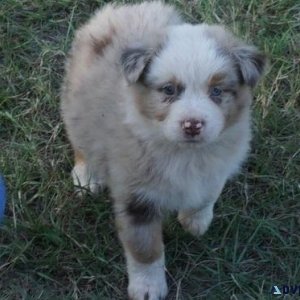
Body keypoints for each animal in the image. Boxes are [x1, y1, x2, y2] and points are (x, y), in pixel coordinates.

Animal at [60, 2, 264, 300]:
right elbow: (145, 250)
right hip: (76, 101)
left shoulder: (220, 160)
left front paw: (196, 221)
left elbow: (208, 193)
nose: (193, 125)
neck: (185, 154)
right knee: (81, 139)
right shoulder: (137, 197)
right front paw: (148, 288)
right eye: (169, 90)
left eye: (216, 91)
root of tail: (124, 9)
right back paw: (87, 176)